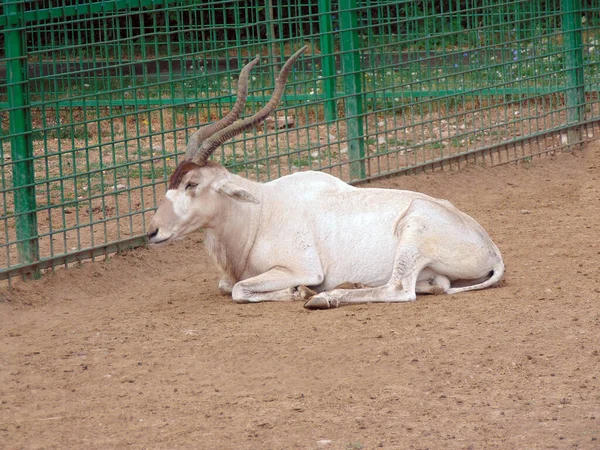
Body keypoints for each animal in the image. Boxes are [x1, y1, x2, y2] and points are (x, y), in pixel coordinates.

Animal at [148, 49, 504, 310]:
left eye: (192, 184)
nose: (152, 232)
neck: (259, 212)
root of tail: (491, 250)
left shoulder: (302, 268)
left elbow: (238, 289)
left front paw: (300, 292)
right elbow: (226, 285)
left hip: (413, 231)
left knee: (400, 289)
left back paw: (325, 297)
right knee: (435, 286)